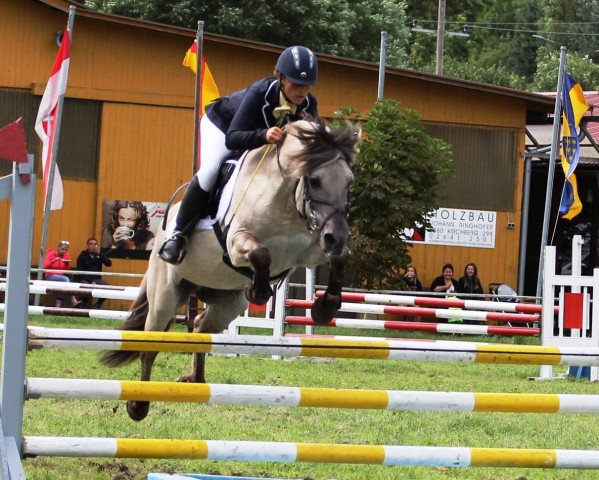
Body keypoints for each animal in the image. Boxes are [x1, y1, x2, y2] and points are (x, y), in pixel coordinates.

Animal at [100, 117, 358, 420]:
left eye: (349, 182)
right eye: (315, 180)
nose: (337, 236)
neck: (285, 204)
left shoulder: (308, 252)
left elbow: (341, 258)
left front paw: (325, 307)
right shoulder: (236, 245)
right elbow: (260, 253)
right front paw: (259, 292)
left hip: (227, 303)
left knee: (200, 327)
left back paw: (195, 380)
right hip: (164, 295)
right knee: (149, 345)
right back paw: (138, 404)